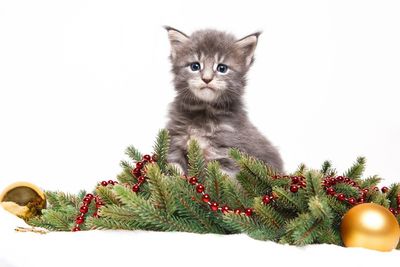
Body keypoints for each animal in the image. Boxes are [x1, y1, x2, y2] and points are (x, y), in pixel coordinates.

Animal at [164, 26, 282, 176]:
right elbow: (174, 167)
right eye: (195, 66)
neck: (204, 113)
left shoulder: (227, 150)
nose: (207, 79)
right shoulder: (175, 140)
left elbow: (222, 176)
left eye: (222, 68)